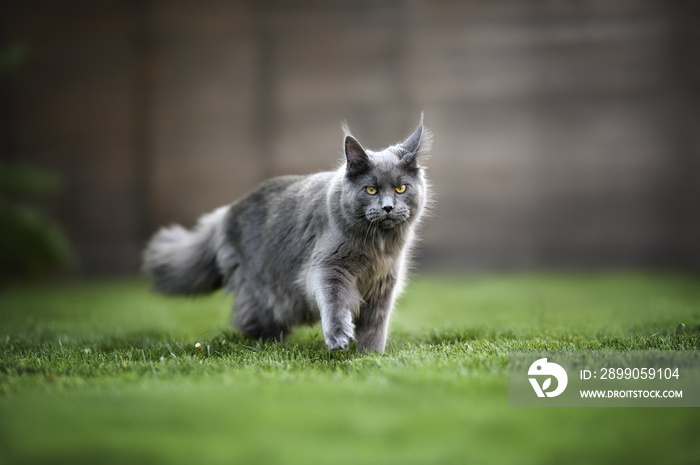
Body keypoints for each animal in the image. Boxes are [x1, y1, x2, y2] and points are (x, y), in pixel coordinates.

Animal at [142, 116, 430, 352]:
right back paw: (269, 346)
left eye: (401, 188)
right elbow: (334, 303)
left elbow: (374, 327)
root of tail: (226, 213)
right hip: (263, 291)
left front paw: (369, 356)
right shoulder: (328, 268)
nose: (388, 207)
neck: (378, 247)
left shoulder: (384, 285)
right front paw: (339, 338)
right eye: (371, 190)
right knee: (253, 320)